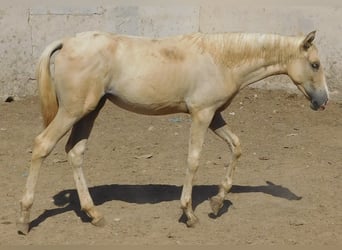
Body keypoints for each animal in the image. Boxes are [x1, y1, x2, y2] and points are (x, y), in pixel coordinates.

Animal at [17, 31, 328, 234]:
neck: (221, 59)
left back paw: (94, 215)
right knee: (41, 145)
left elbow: (236, 146)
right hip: (73, 111)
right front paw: (189, 214)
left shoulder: (215, 115)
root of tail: (67, 42)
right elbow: (194, 160)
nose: (322, 101)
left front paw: (217, 203)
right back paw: (24, 219)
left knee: (75, 152)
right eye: (315, 64)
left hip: (90, 110)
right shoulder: (202, 114)